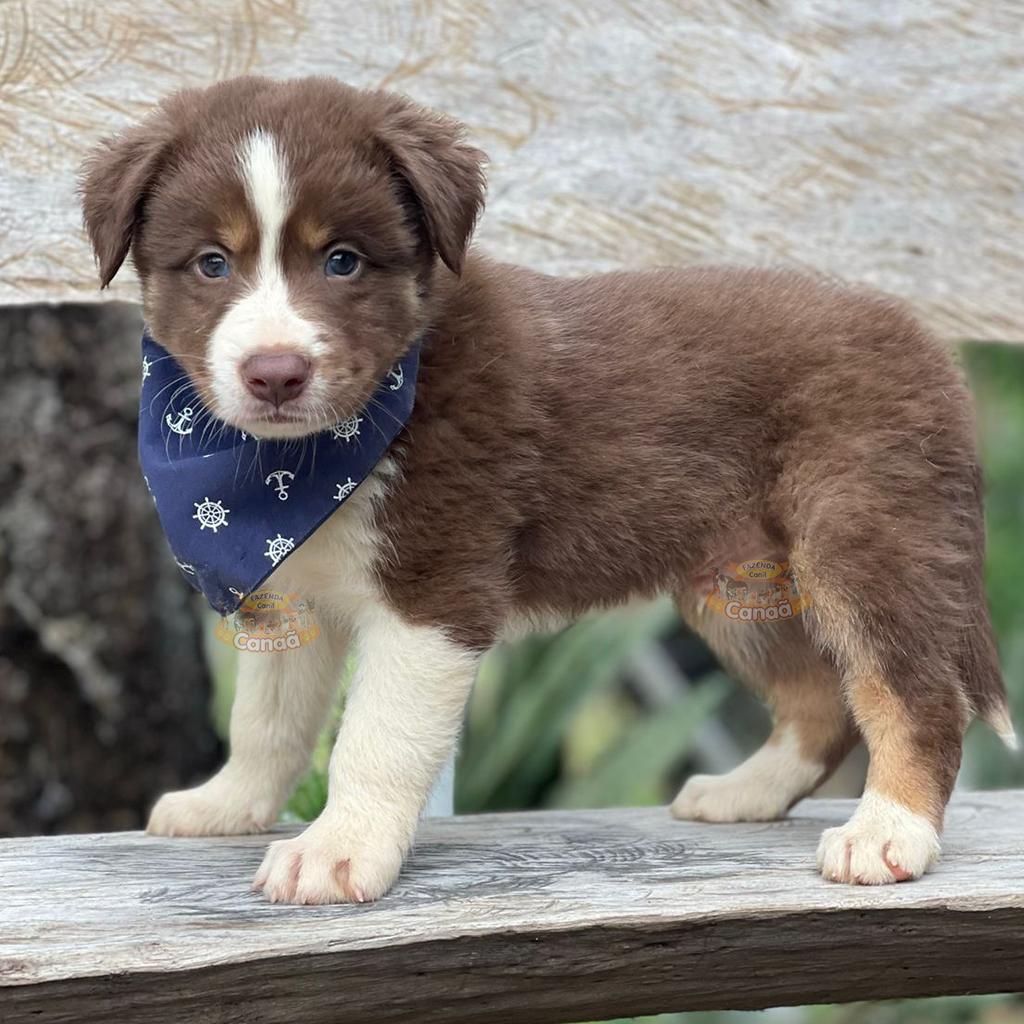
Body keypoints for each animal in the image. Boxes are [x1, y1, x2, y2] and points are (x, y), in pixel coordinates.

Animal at [81, 74, 1015, 905]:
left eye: (342, 261)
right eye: (211, 264)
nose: (275, 373)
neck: (298, 468)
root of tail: (926, 344)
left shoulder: (437, 588)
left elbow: (374, 738)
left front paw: (337, 853)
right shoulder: (288, 587)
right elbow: (268, 721)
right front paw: (229, 804)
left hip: (863, 536)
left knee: (914, 692)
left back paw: (888, 836)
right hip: (742, 580)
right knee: (820, 699)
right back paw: (745, 793)